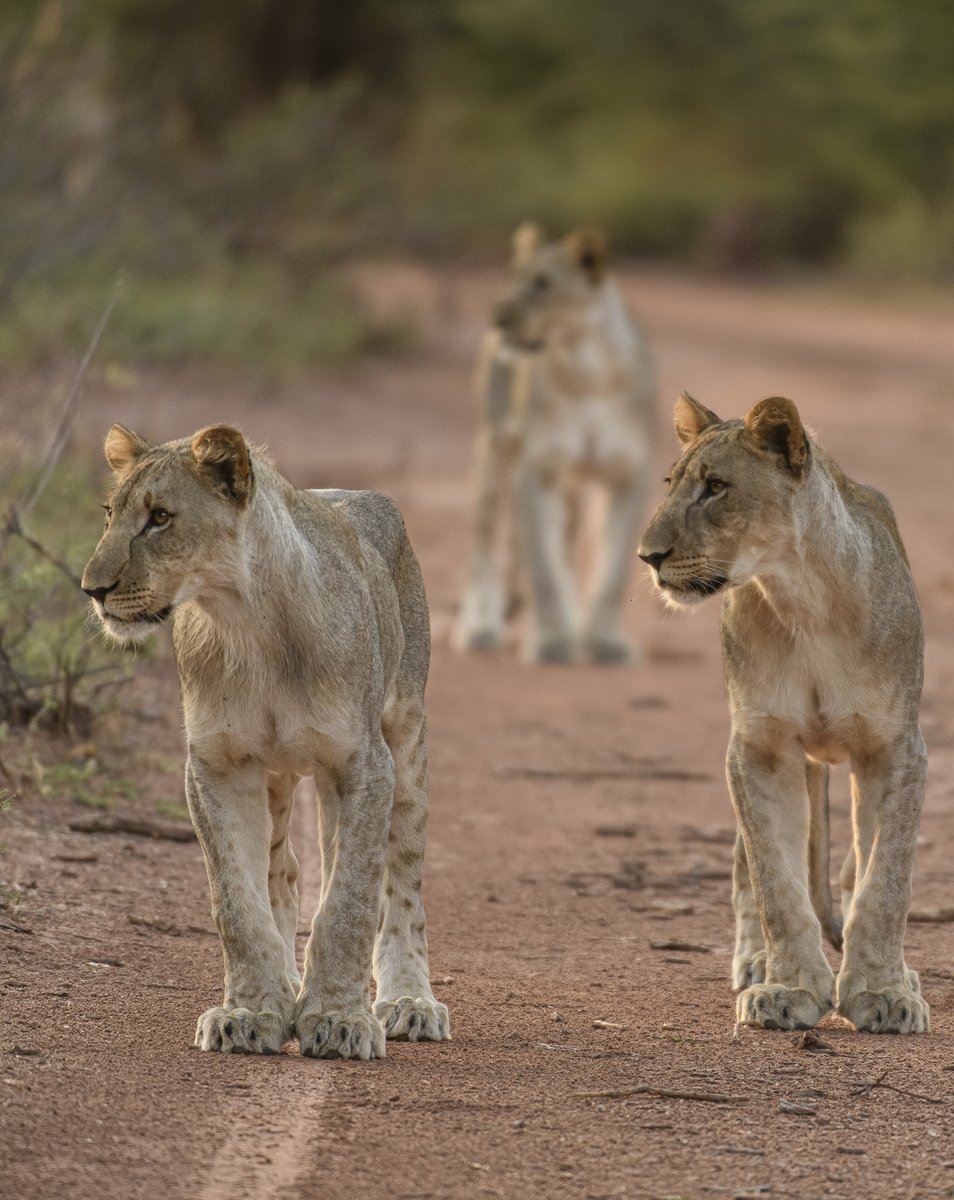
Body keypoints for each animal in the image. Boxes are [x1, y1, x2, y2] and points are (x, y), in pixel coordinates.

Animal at [81, 424, 451, 1058]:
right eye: (110, 514)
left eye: (160, 517)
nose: (91, 589)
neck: (249, 623)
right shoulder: (218, 764)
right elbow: (237, 902)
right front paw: (252, 1012)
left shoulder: (362, 763)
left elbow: (349, 900)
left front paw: (339, 1018)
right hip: (275, 775)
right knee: (285, 869)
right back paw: (287, 986)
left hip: (405, 736)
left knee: (401, 880)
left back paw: (408, 1001)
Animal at [454, 224, 655, 664]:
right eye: (514, 276)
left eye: (542, 284)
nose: (497, 318)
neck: (587, 371)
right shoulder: (536, 471)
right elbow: (543, 568)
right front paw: (551, 643)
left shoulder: (630, 475)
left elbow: (611, 570)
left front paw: (604, 644)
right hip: (494, 449)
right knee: (485, 545)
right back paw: (480, 627)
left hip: (570, 483)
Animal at [638, 392, 929, 1034]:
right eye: (670, 485)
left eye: (716, 487)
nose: (648, 556)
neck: (803, 602)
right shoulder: (759, 748)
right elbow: (775, 879)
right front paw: (788, 988)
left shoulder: (896, 748)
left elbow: (884, 880)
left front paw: (883, 992)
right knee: (745, 864)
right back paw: (753, 963)